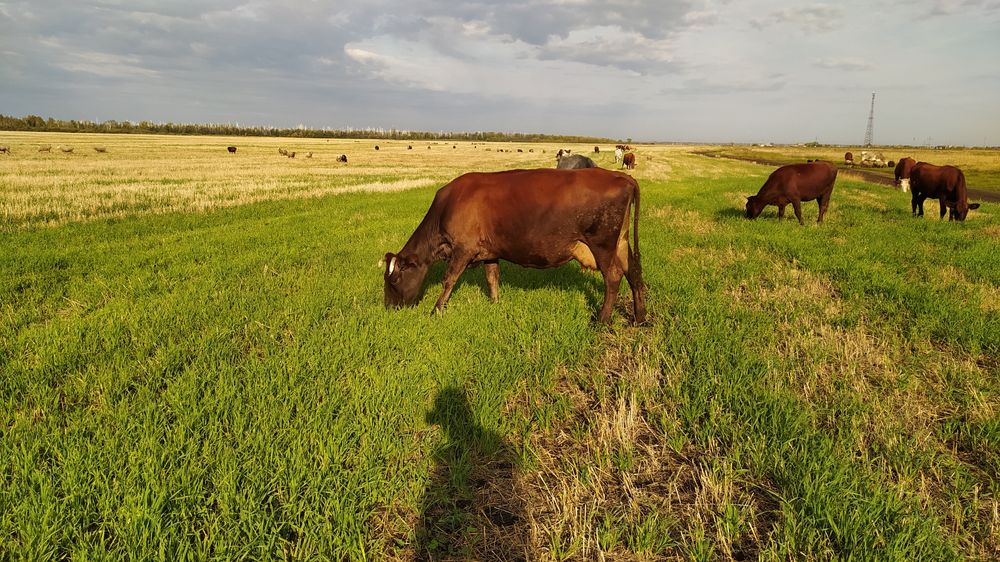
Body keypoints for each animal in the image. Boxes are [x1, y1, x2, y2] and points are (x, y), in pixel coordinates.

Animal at [383, 168, 647, 324]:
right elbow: (492, 278)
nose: (388, 308)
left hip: (603, 244)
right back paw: (640, 317)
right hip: (621, 243)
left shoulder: (463, 249)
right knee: (633, 272)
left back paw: (602, 319)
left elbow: (449, 280)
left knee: (613, 276)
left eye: (393, 279)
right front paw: (495, 304)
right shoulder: (489, 251)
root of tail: (621, 175)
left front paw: (436, 310)